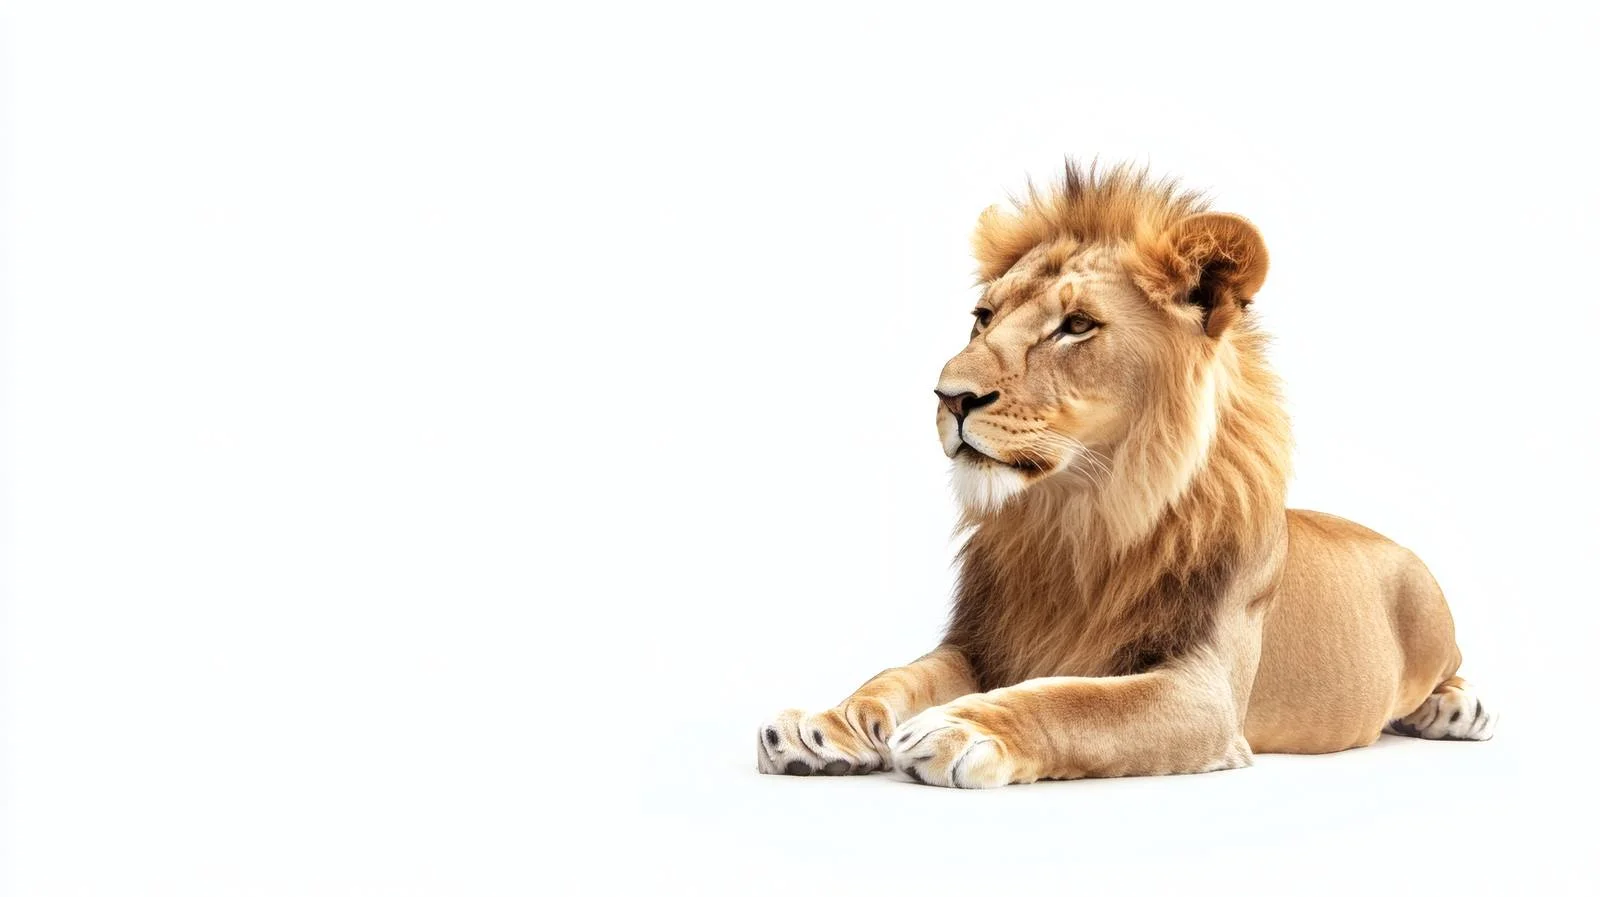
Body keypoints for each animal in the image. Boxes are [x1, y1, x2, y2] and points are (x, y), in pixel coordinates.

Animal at [756, 161, 1494, 788]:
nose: (949, 396)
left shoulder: (1204, 694)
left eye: (1077, 325)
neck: (1076, 516)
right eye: (983, 317)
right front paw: (825, 726)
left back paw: (1458, 710)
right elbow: (898, 675)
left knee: (1452, 669)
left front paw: (963, 727)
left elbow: (1076, 702)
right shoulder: (981, 642)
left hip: (1430, 611)